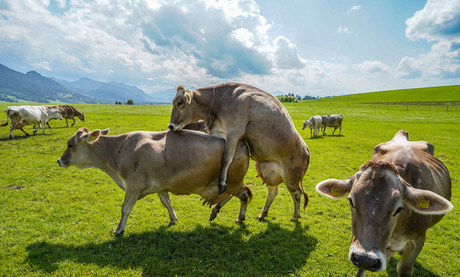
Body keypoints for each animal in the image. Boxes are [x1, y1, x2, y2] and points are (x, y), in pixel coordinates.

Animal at [58, 126, 253, 234]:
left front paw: (119, 229)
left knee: (244, 195)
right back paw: (215, 211)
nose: (59, 160)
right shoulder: (160, 186)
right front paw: (173, 219)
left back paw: (239, 218)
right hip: (228, 183)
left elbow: (125, 209)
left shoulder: (133, 186)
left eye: (70, 145)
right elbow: (167, 202)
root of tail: (240, 142)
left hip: (233, 181)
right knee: (232, 194)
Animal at [169, 82, 310, 222]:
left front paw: (222, 183)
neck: (220, 102)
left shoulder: (234, 131)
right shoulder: (219, 132)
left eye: (179, 103)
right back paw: (262, 214)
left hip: (290, 176)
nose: (170, 126)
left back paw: (295, 216)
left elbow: (226, 158)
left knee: (297, 194)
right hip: (267, 169)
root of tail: (306, 150)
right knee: (273, 191)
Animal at [316, 130, 452, 276]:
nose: (365, 258)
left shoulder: (419, 239)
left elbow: (404, 268)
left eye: (399, 208)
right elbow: (360, 270)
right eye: (351, 201)